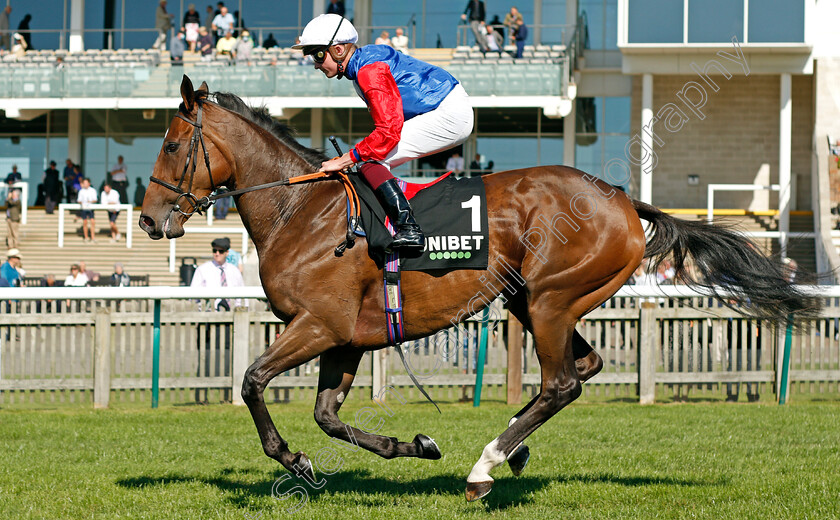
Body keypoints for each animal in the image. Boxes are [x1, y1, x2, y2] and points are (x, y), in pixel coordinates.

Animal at [141, 76, 816, 500]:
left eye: (172, 145)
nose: (149, 221)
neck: (300, 211)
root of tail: (622, 198)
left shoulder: (318, 326)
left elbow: (253, 382)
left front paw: (295, 460)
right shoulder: (344, 338)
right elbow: (329, 417)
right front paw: (413, 444)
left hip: (550, 298)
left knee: (563, 382)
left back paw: (486, 465)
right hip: (537, 299)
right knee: (584, 367)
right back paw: (511, 449)